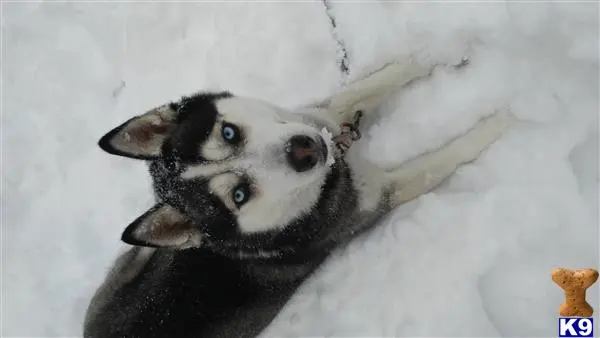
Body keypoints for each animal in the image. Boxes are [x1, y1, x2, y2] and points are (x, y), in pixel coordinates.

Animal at [84, 59, 512, 336]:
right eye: (239, 195)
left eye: (228, 133)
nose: (303, 151)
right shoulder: (377, 197)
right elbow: (440, 160)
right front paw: (503, 118)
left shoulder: (319, 119)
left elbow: (379, 80)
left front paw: (449, 44)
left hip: (137, 259)